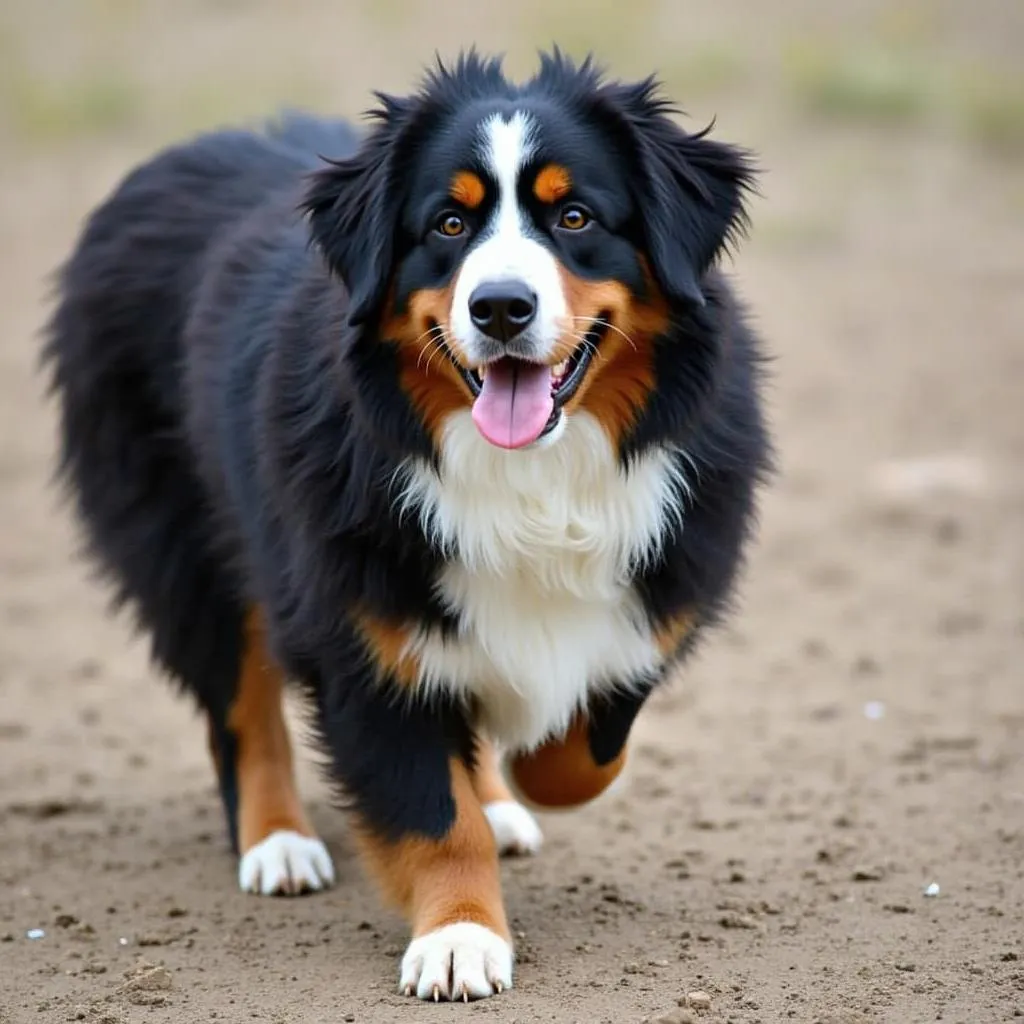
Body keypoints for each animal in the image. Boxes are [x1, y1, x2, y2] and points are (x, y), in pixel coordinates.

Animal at [44, 51, 770, 1003]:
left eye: (574, 216)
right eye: (449, 224)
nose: (500, 307)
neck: (532, 473)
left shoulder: (662, 588)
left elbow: (581, 747)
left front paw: (515, 779)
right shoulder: (362, 631)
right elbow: (433, 811)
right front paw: (459, 937)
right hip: (185, 543)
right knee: (240, 703)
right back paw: (279, 843)